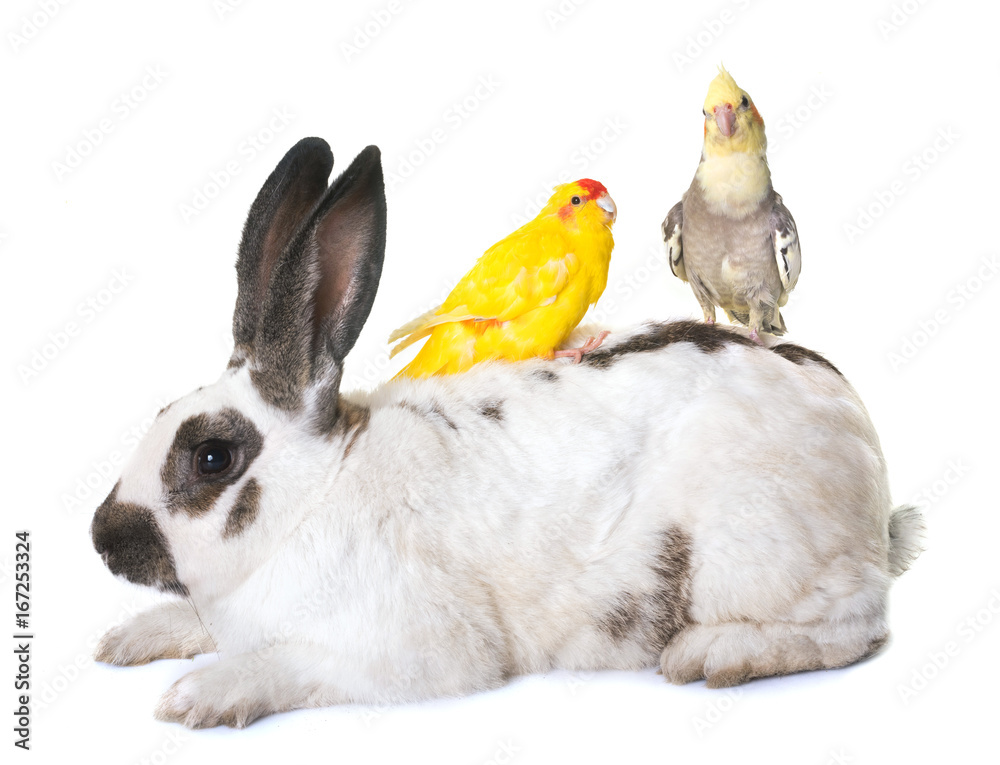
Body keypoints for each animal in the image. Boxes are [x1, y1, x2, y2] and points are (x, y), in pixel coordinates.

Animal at [90, 137, 924, 729]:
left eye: (212, 456)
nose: (102, 538)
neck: (320, 490)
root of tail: (868, 470)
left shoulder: (416, 653)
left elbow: (293, 664)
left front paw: (199, 695)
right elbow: (194, 621)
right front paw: (125, 641)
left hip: (755, 553)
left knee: (856, 626)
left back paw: (710, 653)